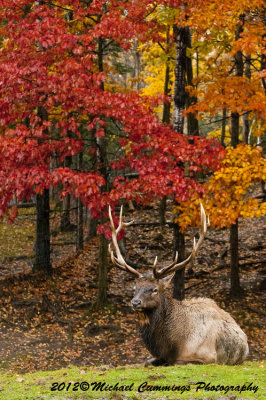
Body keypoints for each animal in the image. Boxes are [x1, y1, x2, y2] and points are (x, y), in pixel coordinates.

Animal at [108, 206, 249, 366]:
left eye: (154, 289)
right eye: (134, 288)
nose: (135, 302)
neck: (170, 344)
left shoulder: (206, 357)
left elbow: (177, 362)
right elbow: (147, 362)